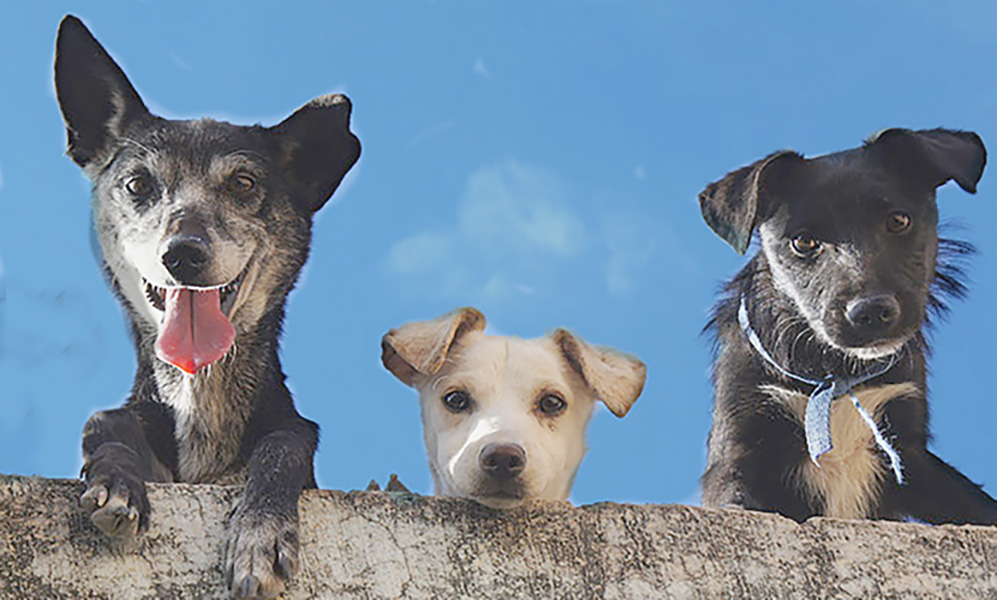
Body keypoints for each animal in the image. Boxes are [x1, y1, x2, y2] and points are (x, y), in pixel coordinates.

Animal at [53, 15, 358, 600]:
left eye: (243, 182)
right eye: (137, 184)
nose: (183, 254)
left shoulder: (290, 435)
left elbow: (285, 443)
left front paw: (260, 533)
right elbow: (103, 420)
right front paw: (117, 480)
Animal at [696, 129, 996, 524]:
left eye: (898, 220)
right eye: (804, 241)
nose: (870, 312)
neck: (835, 374)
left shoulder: (908, 452)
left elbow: (977, 504)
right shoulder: (738, 451)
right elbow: (736, 501)